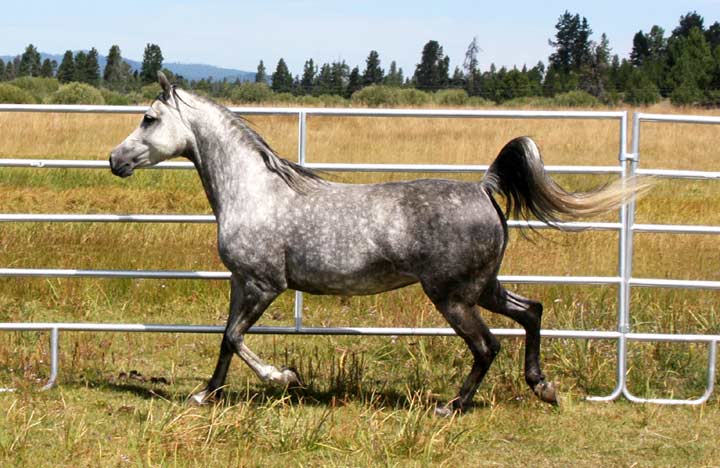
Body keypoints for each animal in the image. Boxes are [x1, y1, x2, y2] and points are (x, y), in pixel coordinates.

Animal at [110, 72, 646, 416]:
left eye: (149, 118)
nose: (115, 159)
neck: (255, 192)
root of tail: (483, 188)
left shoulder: (265, 285)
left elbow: (238, 338)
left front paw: (283, 377)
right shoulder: (241, 282)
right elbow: (225, 338)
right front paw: (207, 395)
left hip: (453, 296)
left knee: (487, 345)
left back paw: (452, 407)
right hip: (483, 286)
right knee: (531, 311)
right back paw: (544, 388)